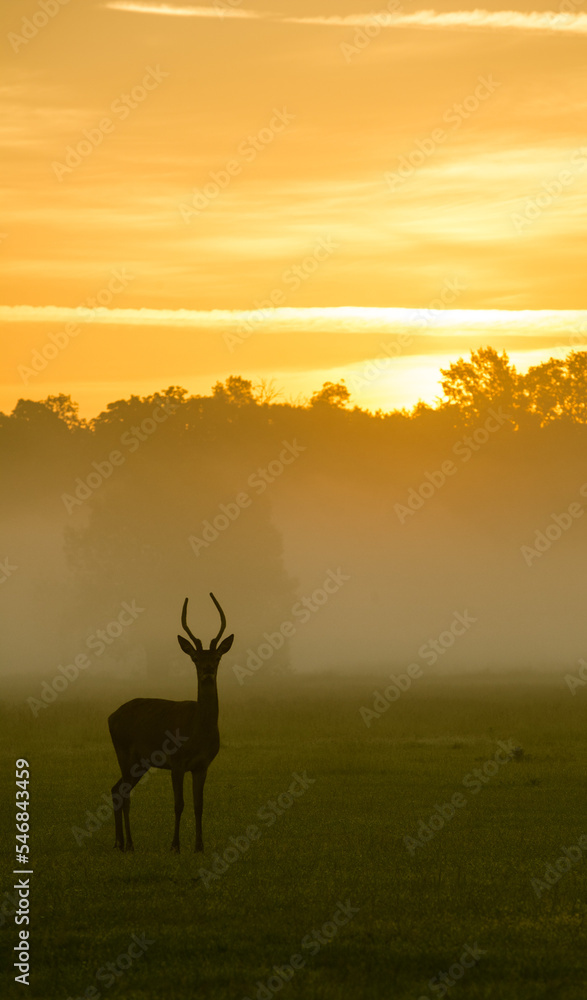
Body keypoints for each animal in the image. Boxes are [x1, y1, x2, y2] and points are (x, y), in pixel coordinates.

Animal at [108, 593, 234, 853]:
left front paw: (199, 846)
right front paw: (175, 845)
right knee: (122, 792)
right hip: (125, 754)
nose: (207, 670)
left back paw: (121, 843)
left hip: (140, 762)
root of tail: (110, 717)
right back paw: (127, 843)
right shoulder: (176, 762)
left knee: (116, 789)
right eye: (195, 658)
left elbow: (199, 804)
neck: (197, 734)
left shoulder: (202, 765)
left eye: (217, 657)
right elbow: (179, 804)